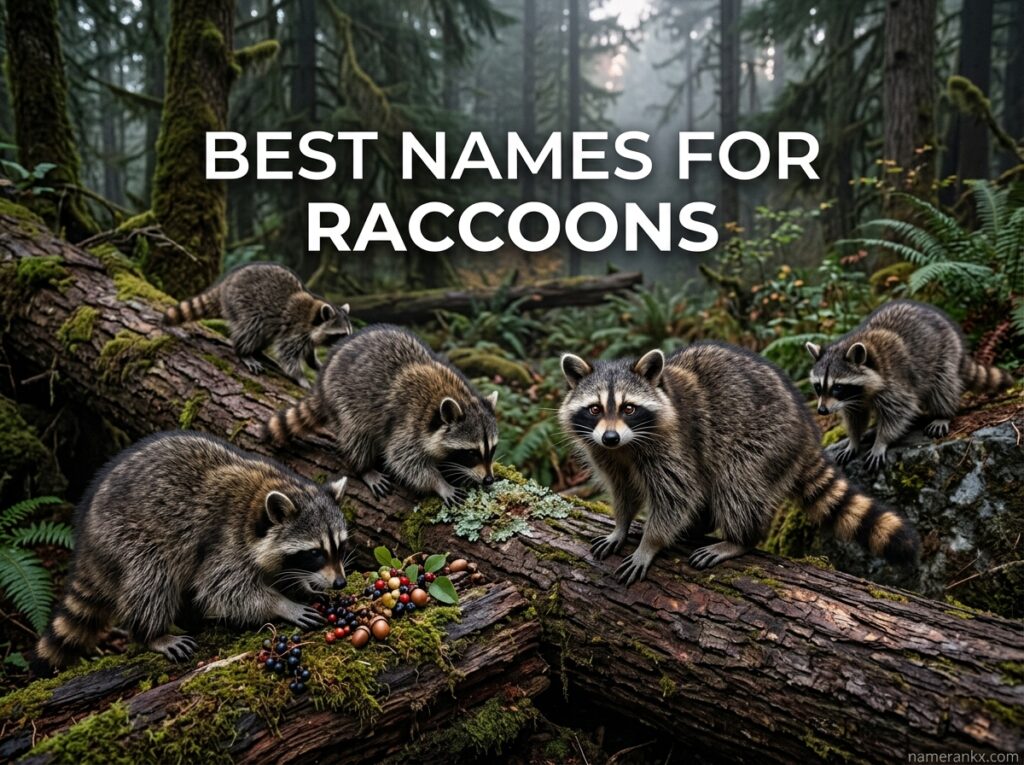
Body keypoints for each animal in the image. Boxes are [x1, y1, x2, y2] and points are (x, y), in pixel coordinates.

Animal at [34, 432, 348, 670]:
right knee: (151, 576)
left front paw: (303, 586)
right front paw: (281, 604)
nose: (340, 582)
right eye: (315, 552)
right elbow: (223, 588)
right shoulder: (226, 539)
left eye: (340, 546)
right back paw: (151, 634)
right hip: (124, 537)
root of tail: (86, 537)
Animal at [164, 263, 352, 388]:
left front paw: (316, 365)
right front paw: (300, 376)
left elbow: (308, 353)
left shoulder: (307, 336)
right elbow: (288, 355)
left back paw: (258, 352)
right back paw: (244, 352)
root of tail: (227, 283)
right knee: (251, 328)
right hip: (245, 303)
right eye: (341, 334)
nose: (349, 345)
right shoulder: (295, 329)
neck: (314, 316)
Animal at [264, 324, 499, 507]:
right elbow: (405, 461)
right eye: (471, 453)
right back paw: (364, 468)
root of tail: (322, 383)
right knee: (356, 435)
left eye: (493, 449)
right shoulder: (408, 422)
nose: (489, 479)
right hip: (345, 401)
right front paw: (439, 483)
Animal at [559, 342, 920, 584]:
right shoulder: (604, 453)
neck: (627, 445)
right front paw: (621, 526)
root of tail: (806, 430)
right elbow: (623, 490)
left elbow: (677, 495)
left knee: (737, 482)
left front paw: (650, 543)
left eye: (629, 408)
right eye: (594, 409)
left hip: (764, 441)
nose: (610, 437)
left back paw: (739, 539)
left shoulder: (675, 444)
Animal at [806, 300, 1015, 469]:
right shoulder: (852, 399)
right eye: (818, 387)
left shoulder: (894, 381)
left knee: (943, 386)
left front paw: (881, 441)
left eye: (837, 387)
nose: (822, 411)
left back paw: (943, 414)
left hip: (945, 355)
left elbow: (900, 411)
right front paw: (854, 440)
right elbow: (855, 417)